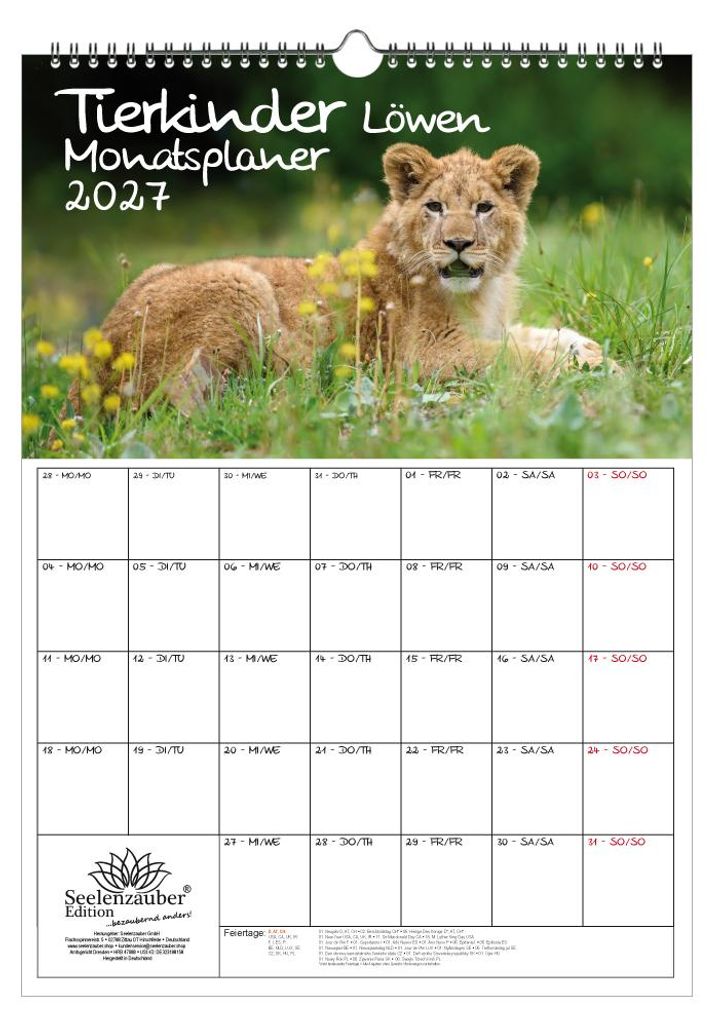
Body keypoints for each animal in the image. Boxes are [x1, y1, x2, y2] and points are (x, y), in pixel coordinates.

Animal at [96, 143, 612, 410]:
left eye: (484, 208)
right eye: (435, 206)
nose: (458, 243)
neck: (481, 292)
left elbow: (532, 336)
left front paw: (587, 348)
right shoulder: (422, 357)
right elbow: (514, 356)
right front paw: (593, 366)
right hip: (240, 281)